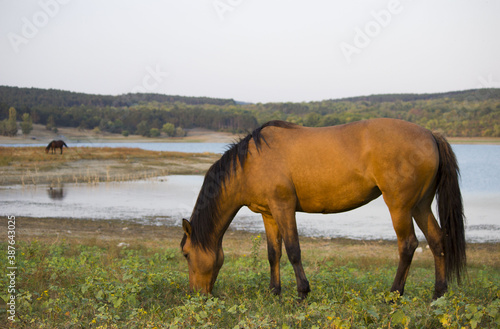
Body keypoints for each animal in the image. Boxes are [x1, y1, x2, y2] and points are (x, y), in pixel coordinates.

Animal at [180, 118, 464, 300]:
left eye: (185, 254)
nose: (195, 294)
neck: (251, 162)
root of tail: (431, 135)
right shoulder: (269, 213)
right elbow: (273, 254)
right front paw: (274, 292)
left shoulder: (284, 207)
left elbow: (293, 250)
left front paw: (303, 293)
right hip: (420, 205)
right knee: (437, 241)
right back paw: (438, 294)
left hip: (399, 206)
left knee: (407, 245)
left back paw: (394, 294)